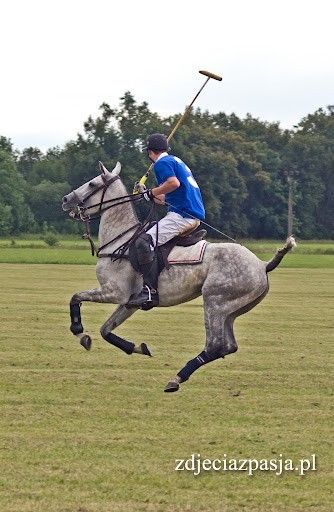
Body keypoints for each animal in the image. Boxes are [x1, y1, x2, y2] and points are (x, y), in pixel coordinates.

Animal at [62, 160, 294, 392]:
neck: (121, 241)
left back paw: (176, 378)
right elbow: (105, 330)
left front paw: (79, 332)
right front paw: (138, 347)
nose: (65, 199)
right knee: (228, 345)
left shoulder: (115, 291)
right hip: (232, 309)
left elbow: (75, 297)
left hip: (215, 301)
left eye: (92, 184)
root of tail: (262, 265)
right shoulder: (129, 302)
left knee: (215, 345)